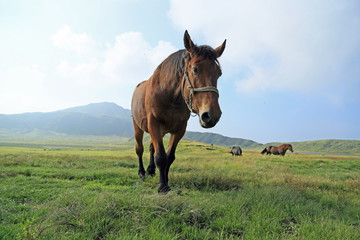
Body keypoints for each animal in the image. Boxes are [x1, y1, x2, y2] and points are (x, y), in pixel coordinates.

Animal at [131, 30, 226, 192]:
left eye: (219, 73)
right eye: (195, 69)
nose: (212, 115)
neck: (170, 97)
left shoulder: (179, 128)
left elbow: (169, 157)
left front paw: (165, 180)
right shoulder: (154, 124)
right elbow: (161, 156)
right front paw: (162, 187)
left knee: (151, 148)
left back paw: (150, 171)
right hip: (138, 127)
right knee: (140, 149)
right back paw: (142, 173)